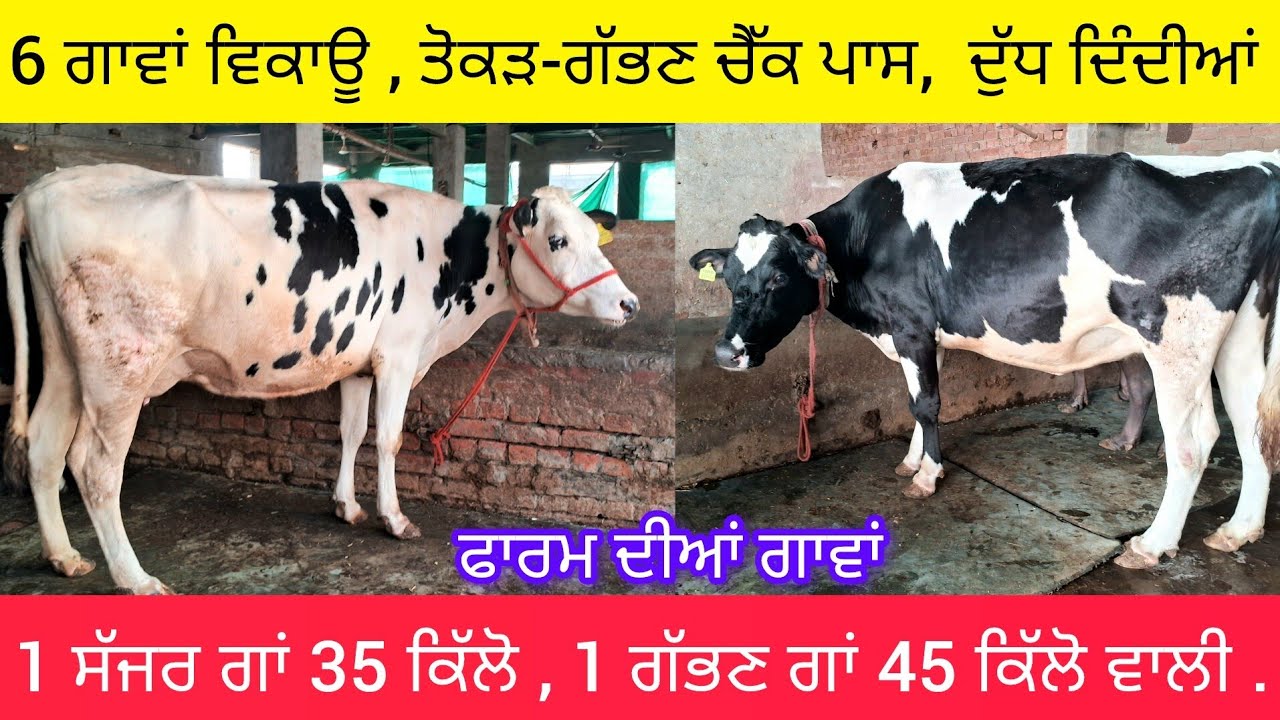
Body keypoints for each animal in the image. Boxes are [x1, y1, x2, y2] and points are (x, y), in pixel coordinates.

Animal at [3, 164, 639, 594]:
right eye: (557, 240)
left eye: (592, 237)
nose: (629, 304)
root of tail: (43, 187)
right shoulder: (398, 355)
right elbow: (388, 440)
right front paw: (394, 519)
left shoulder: (357, 362)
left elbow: (351, 434)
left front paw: (346, 507)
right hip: (121, 368)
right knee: (95, 468)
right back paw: (134, 578)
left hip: (64, 360)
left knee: (45, 446)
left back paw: (63, 556)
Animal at [690, 151, 1280, 570]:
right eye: (727, 279)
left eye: (777, 278)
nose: (726, 351)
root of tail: (1260, 167)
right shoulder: (924, 335)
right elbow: (919, 402)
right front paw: (913, 459)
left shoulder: (910, 324)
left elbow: (926, 404)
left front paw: (927, 476)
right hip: (1243, 333)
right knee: (1251, 426)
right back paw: (1238, 531)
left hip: (1178, 337)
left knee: (1195, 441)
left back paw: (1153, 544)